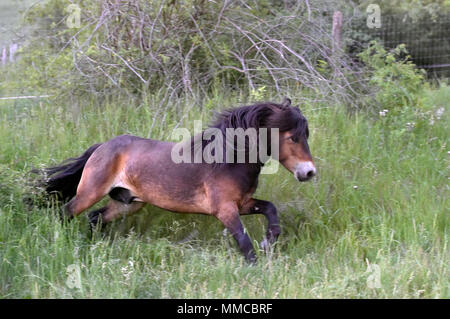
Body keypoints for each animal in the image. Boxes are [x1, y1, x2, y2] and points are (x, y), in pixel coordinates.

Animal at [37, 97, 314, 262]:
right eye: (293, 137)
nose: (309, 172)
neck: (228, 159)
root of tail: (102, 146)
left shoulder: (243, 204)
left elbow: (271, 210)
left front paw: (268, 242)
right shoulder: (225, 209)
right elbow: (243, 240)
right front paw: (255, 265)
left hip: (127, 203)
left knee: (95, 217)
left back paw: (94, 245)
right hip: (90, 193)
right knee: (66, 212)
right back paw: (61, 243)